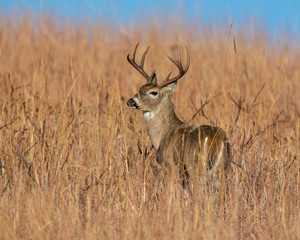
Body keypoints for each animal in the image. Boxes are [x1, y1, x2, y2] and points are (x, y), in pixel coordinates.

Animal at [127, 42, 232, 189]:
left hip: (196, 166)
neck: (163, 135)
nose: (131, 101)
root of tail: (218, 139)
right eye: (140, 89)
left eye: (154, 92)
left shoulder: (169, 165)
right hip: (224, 166)